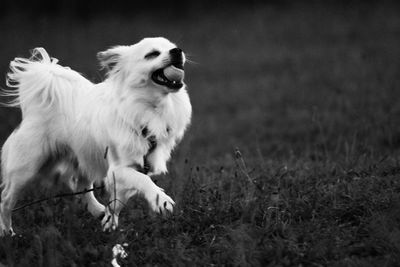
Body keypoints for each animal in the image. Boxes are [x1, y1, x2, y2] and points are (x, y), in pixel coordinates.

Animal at [0, 37, 192, 237]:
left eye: (173, 47)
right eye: (152, 54)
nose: (177, 51)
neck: (152, 108)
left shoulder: (129, 170)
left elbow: (117, 201)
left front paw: (109, 221)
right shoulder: (118, 169)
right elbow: (143, 181)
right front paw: (161, 200)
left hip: (84, 157)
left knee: (81, 187)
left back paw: (98, 210)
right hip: (26, 168)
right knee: (6, 200)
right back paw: (7, 233)